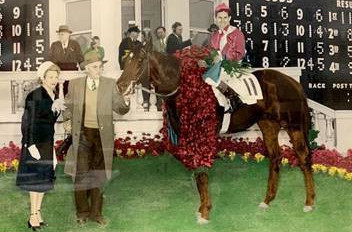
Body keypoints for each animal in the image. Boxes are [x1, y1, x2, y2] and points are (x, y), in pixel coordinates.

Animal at [117, 41, 314, 223]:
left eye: (140, 60)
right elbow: (198, 176)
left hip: (293, 126)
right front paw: (201, 209)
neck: (183, 86)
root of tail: (293, 82)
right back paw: (267, 201)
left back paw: (309, 203)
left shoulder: (201, 138)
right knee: (275, 157)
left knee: (303, 157)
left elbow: (202, 175)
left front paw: (205, 213)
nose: (121, 86)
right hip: (268, 125)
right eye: (125, 60)